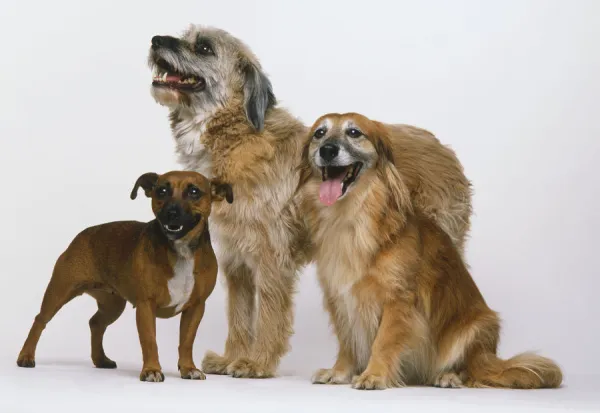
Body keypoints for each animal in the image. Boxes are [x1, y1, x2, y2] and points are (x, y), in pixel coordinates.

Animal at [16, 170, 232, 380]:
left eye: (194, 192)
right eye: (161, 191)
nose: (171, 212)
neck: (181, 250)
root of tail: (82, 235)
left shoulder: (195, 307)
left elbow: (186, 341)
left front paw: (188, 368)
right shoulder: (146, 306)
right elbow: (149, 340)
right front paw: (151, 370)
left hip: (112, 305)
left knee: (96, 323)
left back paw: (100, 359)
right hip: (59, 291)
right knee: (40, 320)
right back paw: (26, 356)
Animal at [149, 24, 474, 374]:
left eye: (204, 47)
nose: (155, 40)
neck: (236, 137)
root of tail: (445, 151)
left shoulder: (271, 257)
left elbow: (268, 314)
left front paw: (257, 362)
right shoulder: (236, 261)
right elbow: (238, 315)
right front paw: (231, 358)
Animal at [300, 112, 564, 390]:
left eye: (354, 133)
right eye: (319, 133)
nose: (328, 150)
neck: (350, 219)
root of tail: (491, 358)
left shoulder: (398, 298)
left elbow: (383, 341)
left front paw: (375, 374)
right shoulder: (339, 297)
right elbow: (347, 340)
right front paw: (340, 371)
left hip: (477, 326)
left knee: (471, 370)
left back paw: (448, 375)